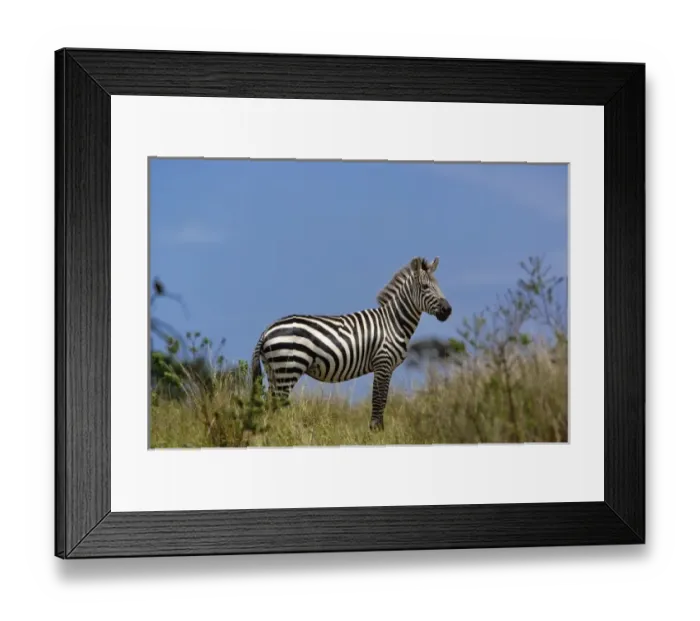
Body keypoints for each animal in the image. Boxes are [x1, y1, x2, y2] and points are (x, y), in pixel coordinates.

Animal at [250, 256, 452, 431]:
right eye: (425, 287)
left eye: (439, 286)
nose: (448, 310)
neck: (393, 322)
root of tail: (267, 330)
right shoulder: (382, 363)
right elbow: (378, 400)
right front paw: (376, 432)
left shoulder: (387, 368)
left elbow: (383, 400)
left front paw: (378, 431)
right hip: (288, 368)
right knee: (275, 405)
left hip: (274, 370)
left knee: (269, 406)